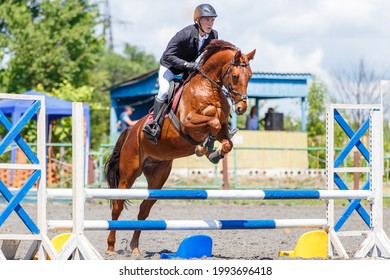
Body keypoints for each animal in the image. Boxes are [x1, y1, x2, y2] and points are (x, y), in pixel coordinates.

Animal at [104, 40, 256, 254]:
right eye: (235, 76)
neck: (209, 88)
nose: (241, 108)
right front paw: (203, 148)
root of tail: (131, 130)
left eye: (249, 76)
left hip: (158, 177)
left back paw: (134, 248)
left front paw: (213, 153)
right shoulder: (188, 121)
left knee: (144, 210)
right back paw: (110, 247)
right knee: (117, 205)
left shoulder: (222, 129)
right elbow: (212, 122)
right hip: (129, 171)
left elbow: (227, 140)